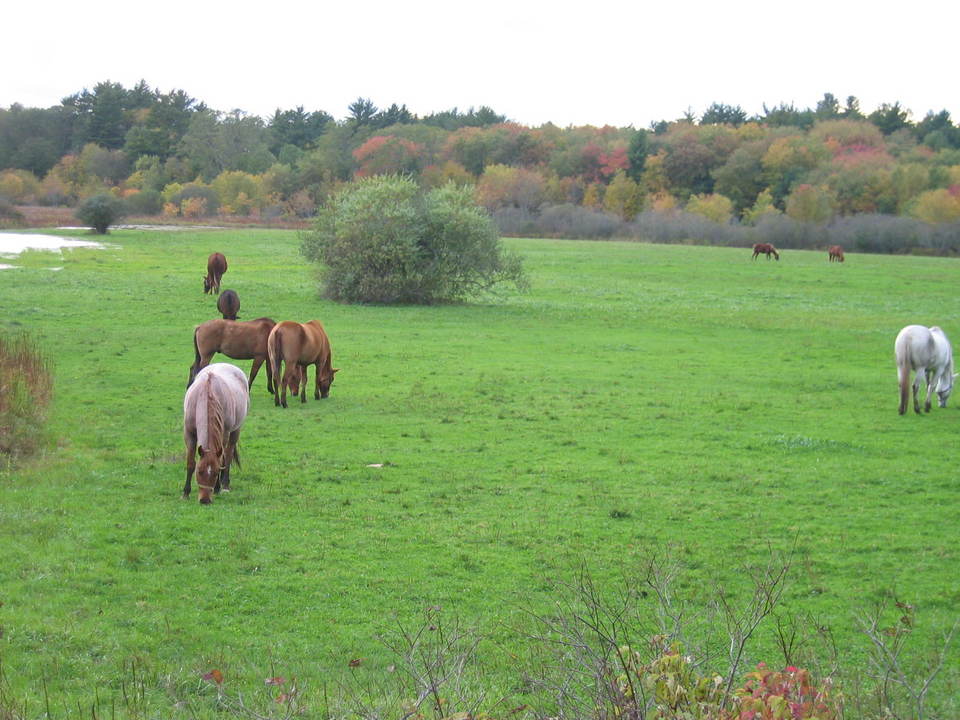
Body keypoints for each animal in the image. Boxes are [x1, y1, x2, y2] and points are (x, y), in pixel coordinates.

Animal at [180, 362, 248, 504]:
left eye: (215, 473)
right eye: (199, 471)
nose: (205, 500)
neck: (206, 394)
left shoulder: (224, 434)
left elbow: (221, 460)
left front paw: (217, 487)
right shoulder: (189, 434)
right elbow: (190, 463)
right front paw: (186, 492)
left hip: (235, 431)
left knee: (228, 455)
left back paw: (225, 484)